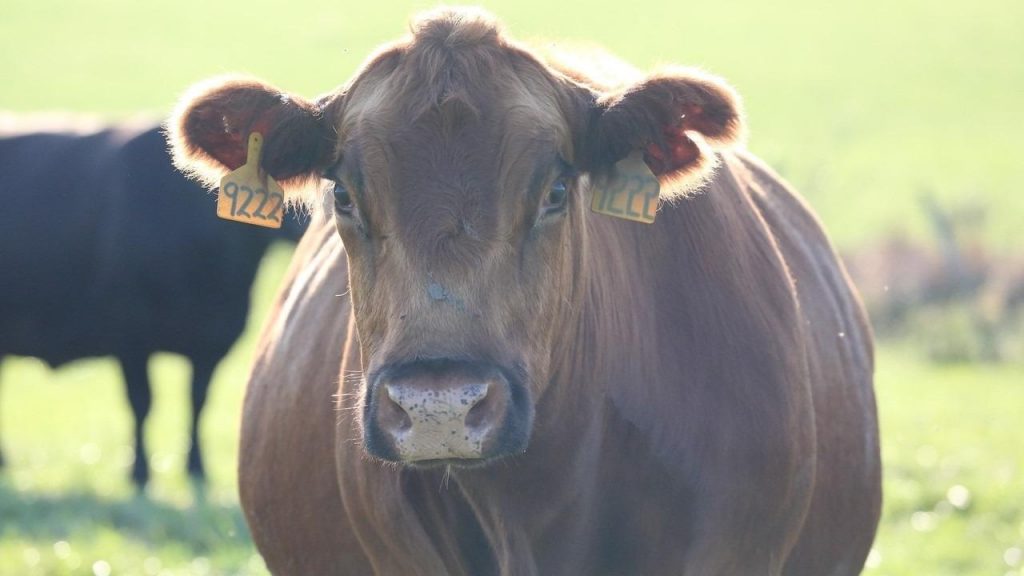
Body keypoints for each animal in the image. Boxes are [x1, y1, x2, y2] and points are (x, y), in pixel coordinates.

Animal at [0, 119, 305, 488]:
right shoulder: (130, 337)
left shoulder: (213, 341)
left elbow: (197, 402)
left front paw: (196, 467)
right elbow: (142, 403)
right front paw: (140, 472)